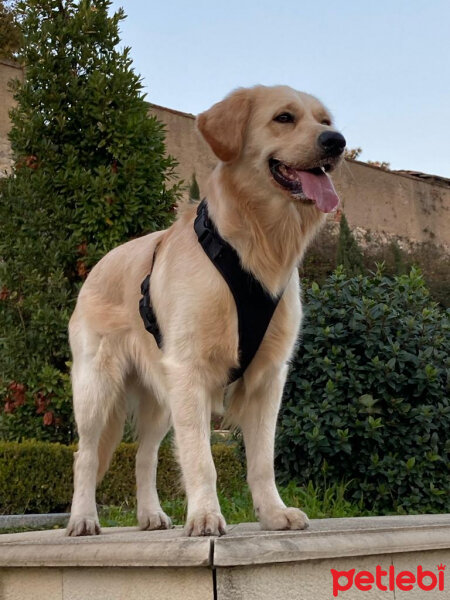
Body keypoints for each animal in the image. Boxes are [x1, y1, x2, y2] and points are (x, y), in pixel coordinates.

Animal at [67, 83, 346, 536]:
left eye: (325, 121)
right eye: (284, 118)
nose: (336, 142)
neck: (255, 244)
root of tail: (98, 265)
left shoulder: (269, 377)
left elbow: (262, 460)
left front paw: (273, 513)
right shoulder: (189, 370)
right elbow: (202, 459)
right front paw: (204, 516)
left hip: (160, 400)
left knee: (145, 455)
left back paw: (150, 515)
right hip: (98, 388)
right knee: (86, 455)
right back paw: (83, 518)